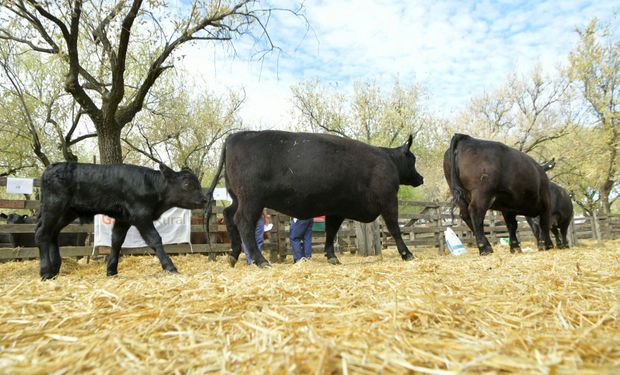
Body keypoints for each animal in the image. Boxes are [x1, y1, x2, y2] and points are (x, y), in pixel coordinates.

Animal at [35, 163, 207, 280]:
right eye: (187, 184)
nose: (204, 199)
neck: (151, 186)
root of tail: (51, 168)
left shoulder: (123, 219)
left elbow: (117, 240)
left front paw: (111, 270)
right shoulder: (141, 216)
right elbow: (155, 239)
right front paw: (170, 267)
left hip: (67, 212)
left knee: (53, 233)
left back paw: (55, 268)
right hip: (54, 207)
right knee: (42, 233)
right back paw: (45, 271)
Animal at [206, 130, 424, 268]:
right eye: (412, 159)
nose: (420, 178)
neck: (388, 160)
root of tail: (235, 136)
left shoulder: (336, 209)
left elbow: (330, 232)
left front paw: (332, 256)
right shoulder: (389, 200)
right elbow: (394, 228)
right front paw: (407, 253)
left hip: (237, 198)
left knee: (228, 215)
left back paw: (233, 255)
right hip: (252, 199)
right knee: (243, 222)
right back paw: (261, 261)